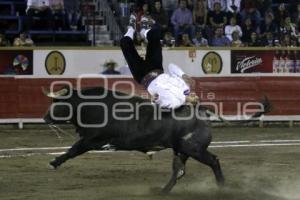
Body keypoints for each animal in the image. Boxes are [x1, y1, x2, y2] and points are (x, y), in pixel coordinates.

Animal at [44, 86, 270, 193]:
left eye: (60, 102)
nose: (45, 117)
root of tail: (201, 110)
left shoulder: (93, 140)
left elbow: (73, 150)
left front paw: (53, 162)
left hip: (194, 149)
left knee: (213, 161)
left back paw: (222, 187)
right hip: (182, 150)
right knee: (178, 170)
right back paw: (162, 191)